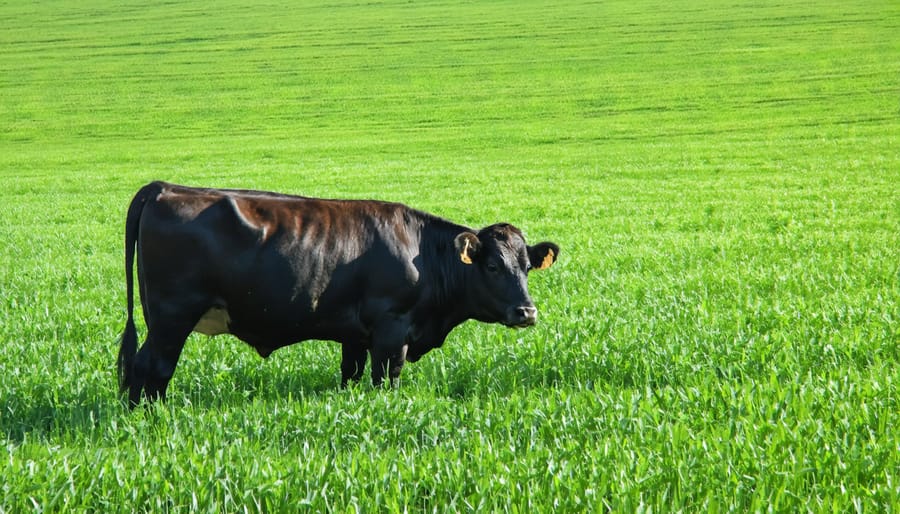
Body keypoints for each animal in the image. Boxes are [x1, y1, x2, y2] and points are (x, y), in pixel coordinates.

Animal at [116, 181, 560, 404]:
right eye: (492, 266)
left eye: (526, 266)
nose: (526, 312)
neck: (423, 253)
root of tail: (165, 187)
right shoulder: (391, 331)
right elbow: (385, 379)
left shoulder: (355, 336)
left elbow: (351, 374)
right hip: (172, 318)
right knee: (151, 368)